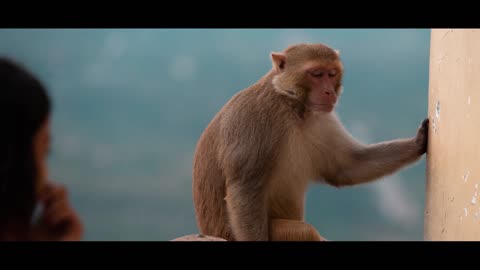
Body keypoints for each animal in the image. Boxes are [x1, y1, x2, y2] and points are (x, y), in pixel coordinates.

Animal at [193, 43, 430, 242]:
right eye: (316, 74)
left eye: (332, 74)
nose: (329, 91)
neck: (293, 106)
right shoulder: (254, 120)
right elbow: (244, 189)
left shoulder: (321, 120)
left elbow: (346, 166)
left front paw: (419, 141)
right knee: (304, 231)